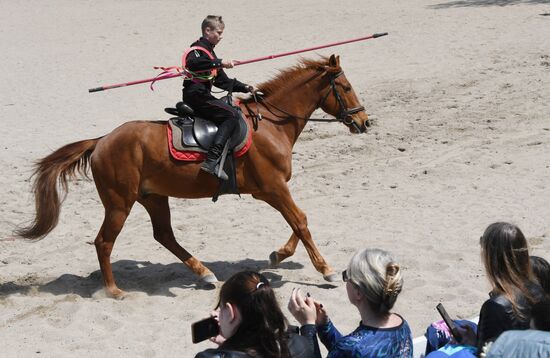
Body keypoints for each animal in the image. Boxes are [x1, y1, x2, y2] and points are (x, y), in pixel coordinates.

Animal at [16, 54, 370, 298]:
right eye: (347, 88)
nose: (364, 122)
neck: (271, 124)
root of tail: (102, 140)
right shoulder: (272, 188)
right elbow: (301, 221)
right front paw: (325, 270)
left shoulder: (272, 190)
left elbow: (299, 221)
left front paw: (278, 255)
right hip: (119, 203)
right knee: (104, 242)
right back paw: (114, 290)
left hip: (153, 197)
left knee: (164, 235)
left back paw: (204, 273)